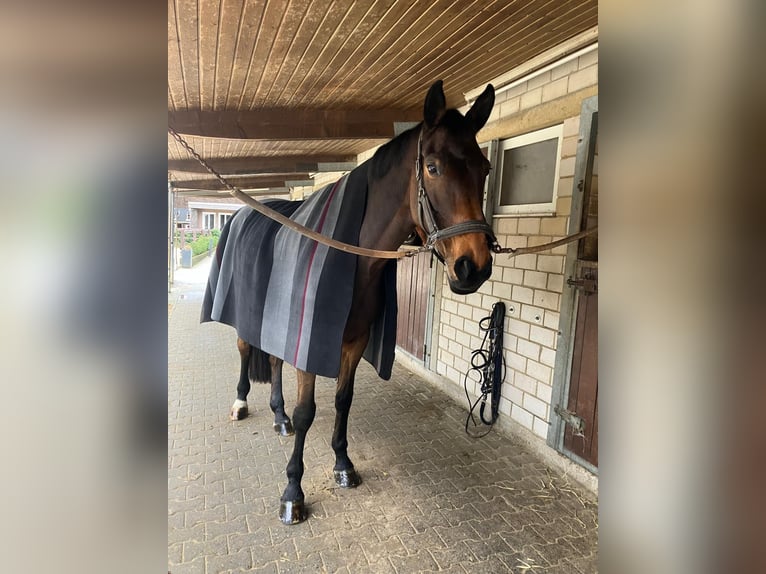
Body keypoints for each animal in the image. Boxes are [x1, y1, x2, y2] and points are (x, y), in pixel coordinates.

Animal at [202, 81, 498, 528]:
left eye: (484, 168)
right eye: (432, 168)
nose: (473, 266)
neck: (355, 259)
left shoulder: (355, 343)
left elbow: (344, 400)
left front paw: (343, 464)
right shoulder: (310, 345)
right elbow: (308, 412)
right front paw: (293, 492)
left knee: (272, 360)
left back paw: (278, 417)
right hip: (245, 320)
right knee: (244, 351)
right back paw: (241, 404)